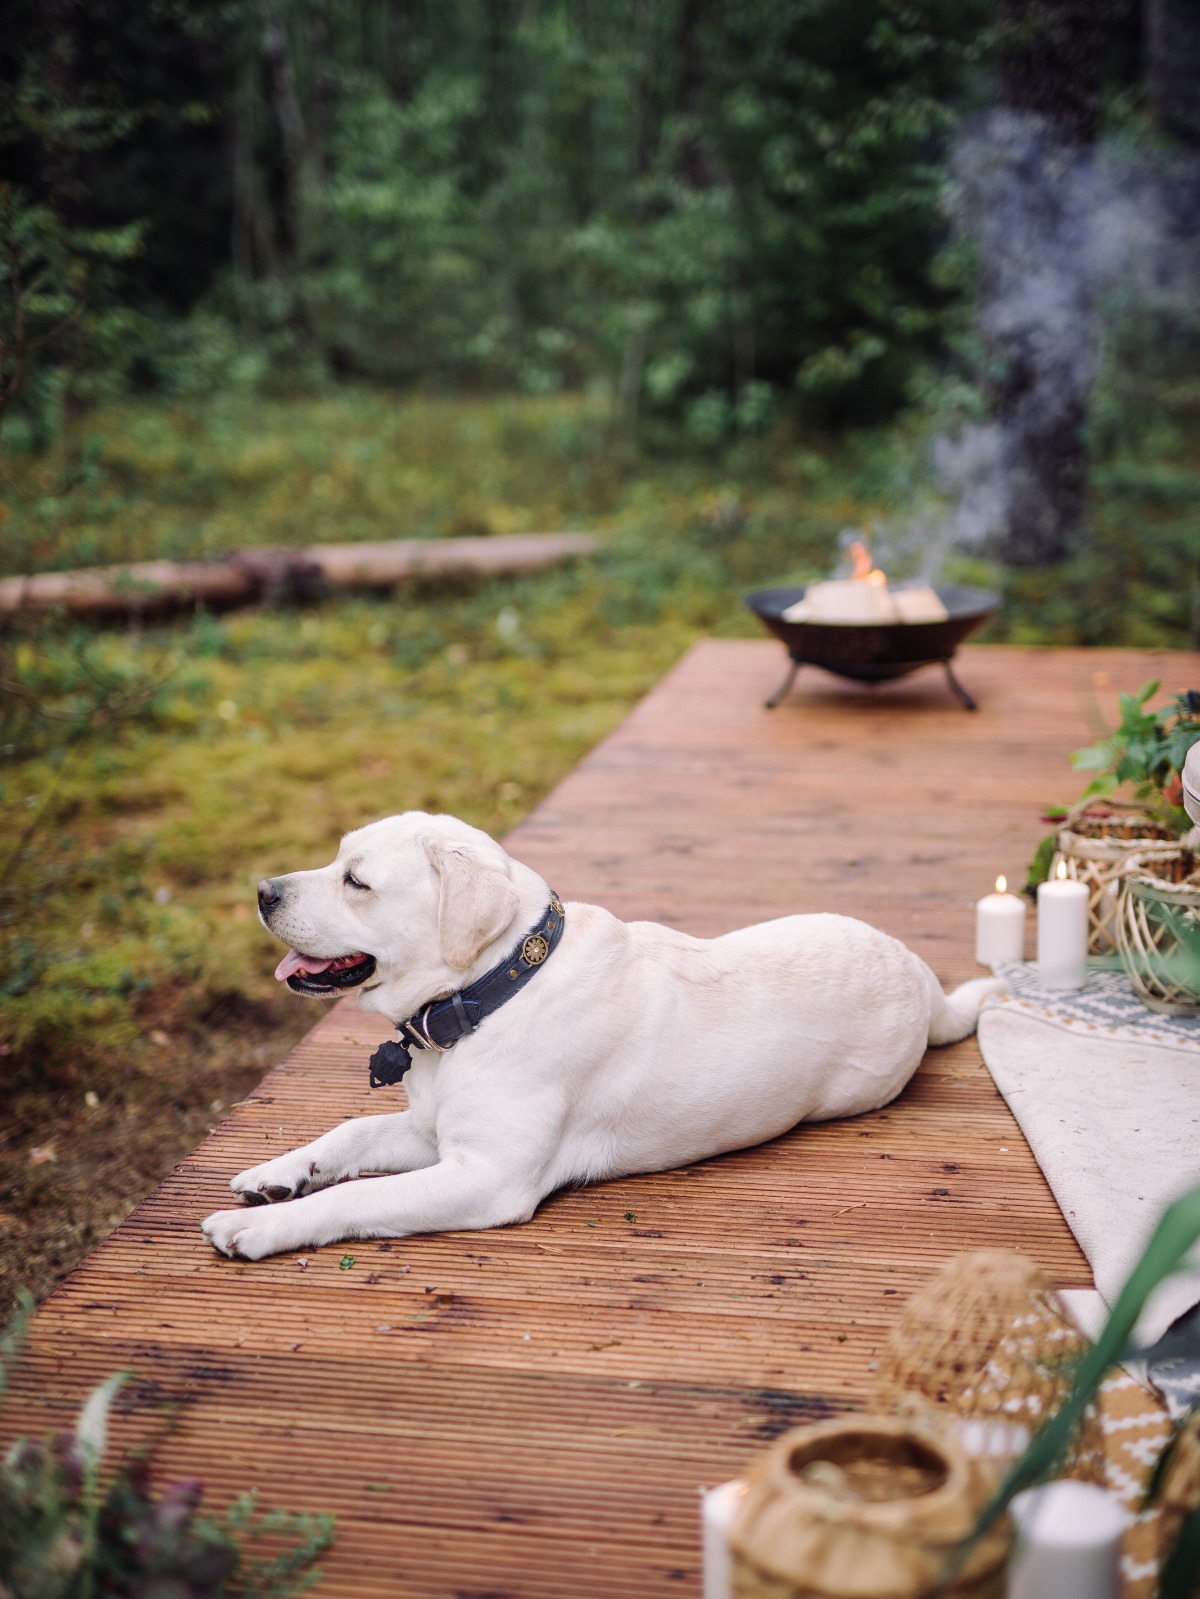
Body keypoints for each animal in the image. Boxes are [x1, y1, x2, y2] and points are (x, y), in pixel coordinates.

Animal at [204, 812, 998, 1260]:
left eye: (357, 881)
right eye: (337, 859)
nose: (263, 891)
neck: (491, 993)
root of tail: (918, 970)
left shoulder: (488, 1175)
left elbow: (357, 1199)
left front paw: (264, 1228)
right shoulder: (433, 1132)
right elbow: (349, 1132)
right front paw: (277, 1173)